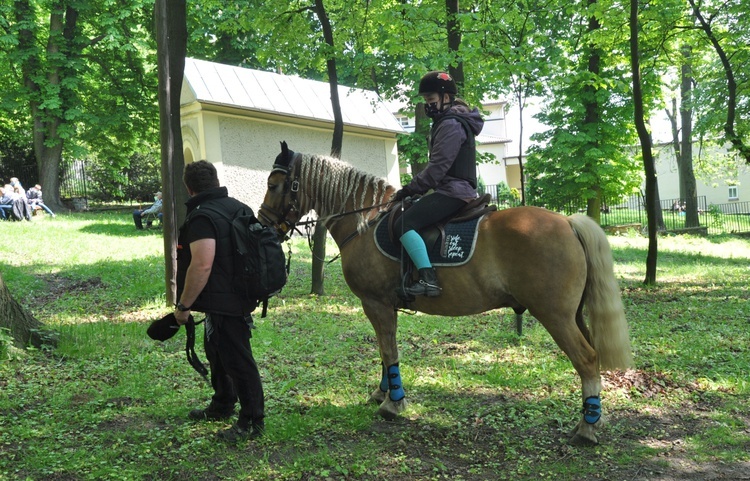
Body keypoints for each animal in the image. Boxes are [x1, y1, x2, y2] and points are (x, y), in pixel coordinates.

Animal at [260, 143, 636, 446]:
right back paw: (591, 419)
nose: (263, 224)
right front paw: (382, 392)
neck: (365, 221)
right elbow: (384, 350)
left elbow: (388, 350)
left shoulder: (375, 303)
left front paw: (393, 402)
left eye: (275, 185)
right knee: (592, 358)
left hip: (555, 316)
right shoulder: (382, 307)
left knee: (586, 359)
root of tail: (568, 222)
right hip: (572, 315)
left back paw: (586, 429)